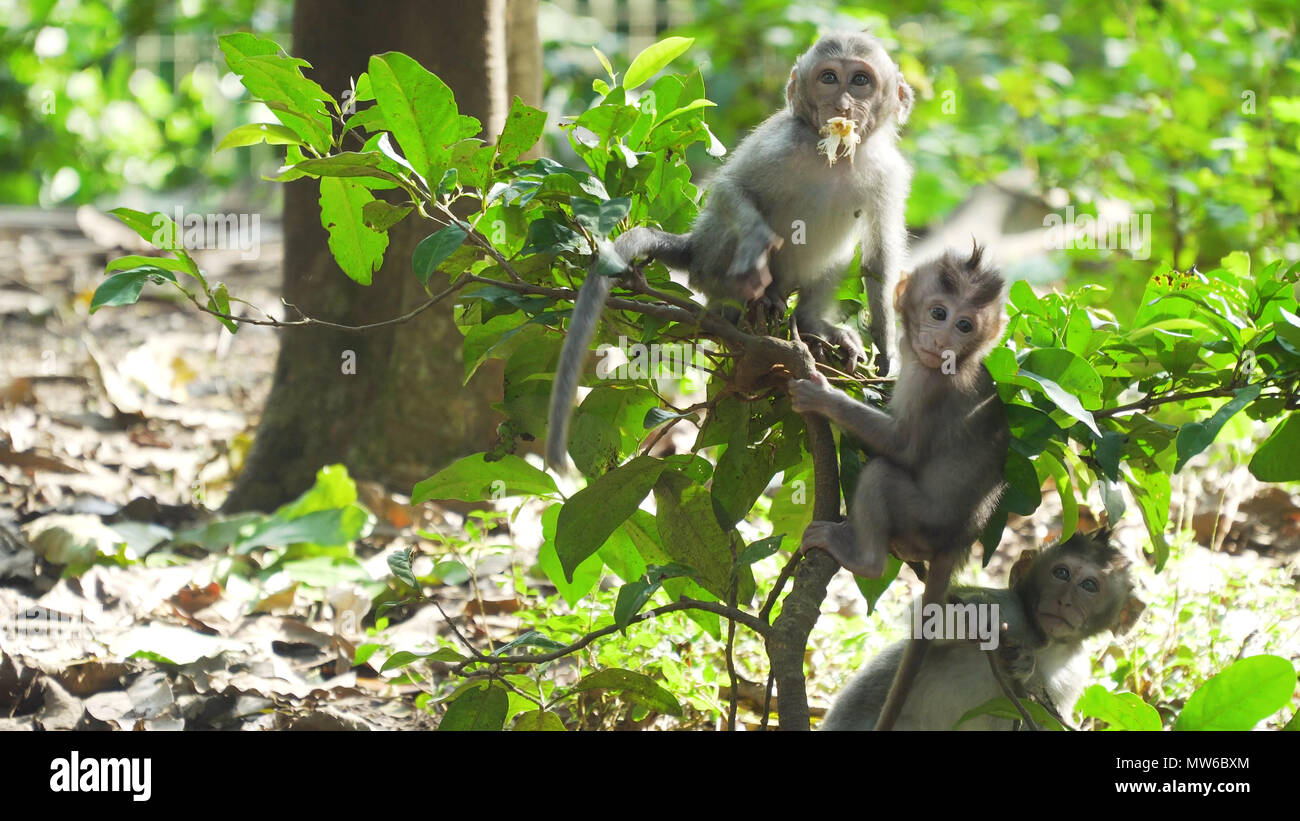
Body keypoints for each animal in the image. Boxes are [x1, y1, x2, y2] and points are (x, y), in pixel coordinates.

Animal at [546, 31, 914, 469]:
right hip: (710, 255)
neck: (837, 157)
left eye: (860, 81)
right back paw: (743, 301)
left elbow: (878, 259)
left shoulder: (888, 170)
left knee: (839, 256)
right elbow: (730, 188)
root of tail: (694, 249)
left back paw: (808, 323)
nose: (841, 105)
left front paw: (887, 347)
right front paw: (757, 243)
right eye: (829, 77)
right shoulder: (783, 142)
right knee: (728, 227)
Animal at [788, 244, 1009, 730]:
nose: (942, 340)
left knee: (881, 474)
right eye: (940, 313)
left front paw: (823, 395)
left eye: (965, 326)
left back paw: (864, 558)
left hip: (922, 522)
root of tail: (959, 541)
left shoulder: (930, 385)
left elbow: (901, 448)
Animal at [819, 528, 1146, 730]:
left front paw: (1024, 664)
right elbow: (931, 616)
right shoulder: (1010, 607)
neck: (1044, 641)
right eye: (1061, 573)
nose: (1064, 601)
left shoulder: (1074, 672)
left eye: (1089, 586)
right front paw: (980, 617)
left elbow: (1047, 718)